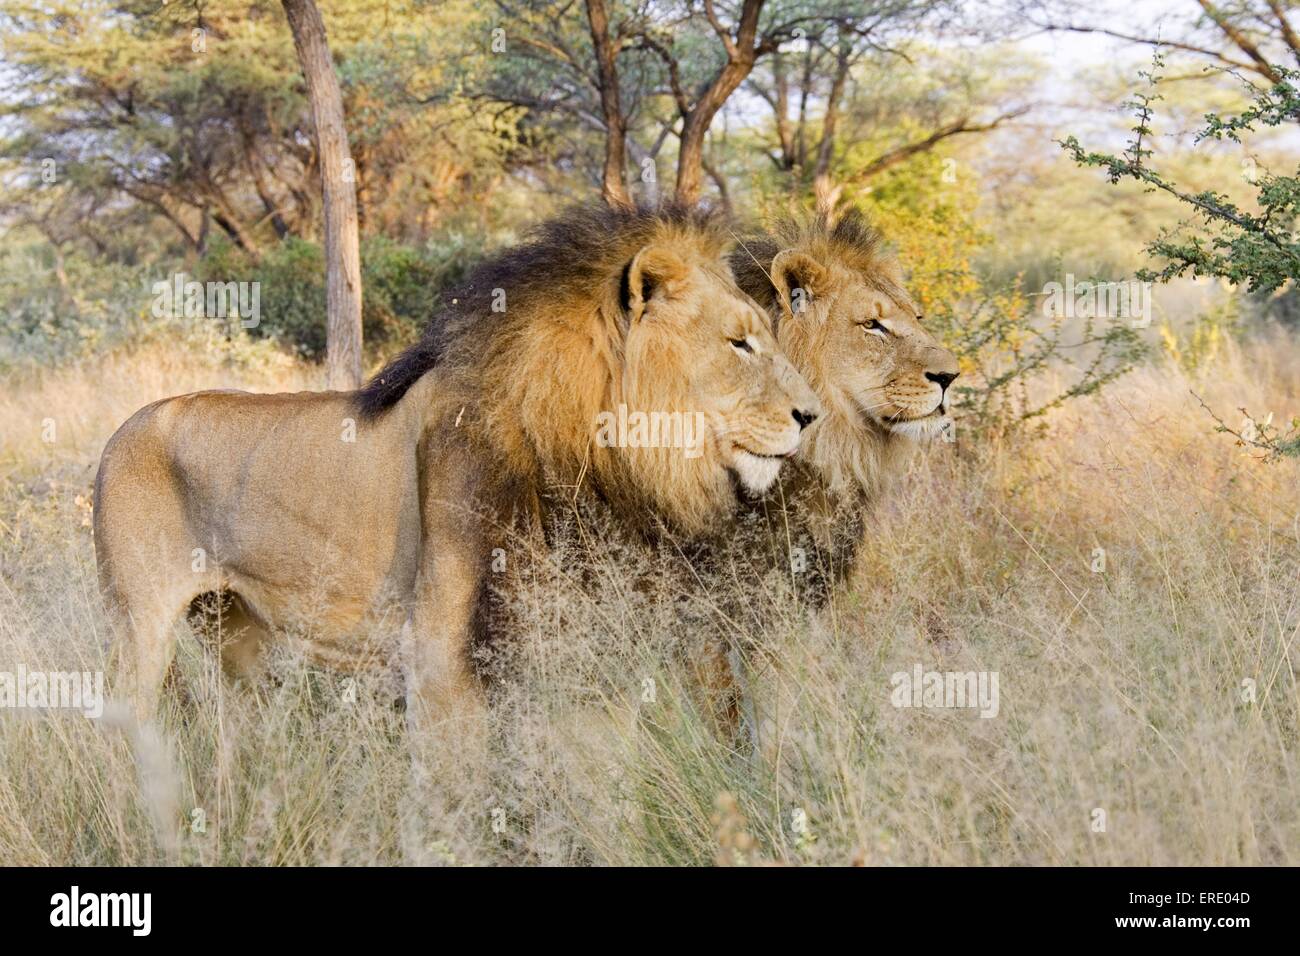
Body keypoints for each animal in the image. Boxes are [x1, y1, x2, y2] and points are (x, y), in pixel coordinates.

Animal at [93, 204, 821, 736]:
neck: (584, 456)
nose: (812, 416)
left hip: (235, 634)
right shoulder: (441, 658)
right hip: (138, 626)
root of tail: (120, 431)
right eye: (739, 342)